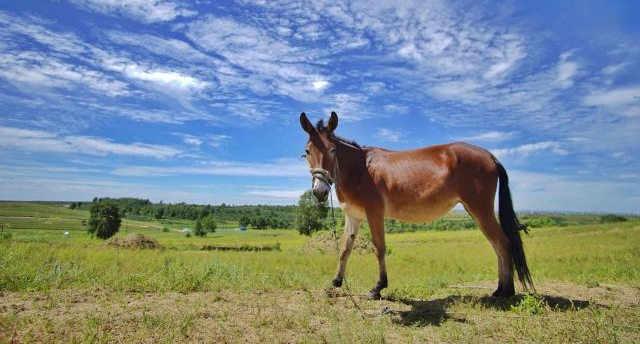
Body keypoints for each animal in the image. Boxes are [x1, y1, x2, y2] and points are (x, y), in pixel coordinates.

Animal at [300, 112, 536, 298]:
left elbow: (379, 248)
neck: (359, 168)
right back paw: (499, 289)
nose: (320, 192)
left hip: (480, 209)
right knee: (496, 244)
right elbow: (344, 249)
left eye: (332, 150)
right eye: (307, 151)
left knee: (502, 243)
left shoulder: (374, 213)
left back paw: (506, 292)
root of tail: (490, 155)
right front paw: (335, 283)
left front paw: (378, 288)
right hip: (474, 210)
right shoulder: (353, 215)